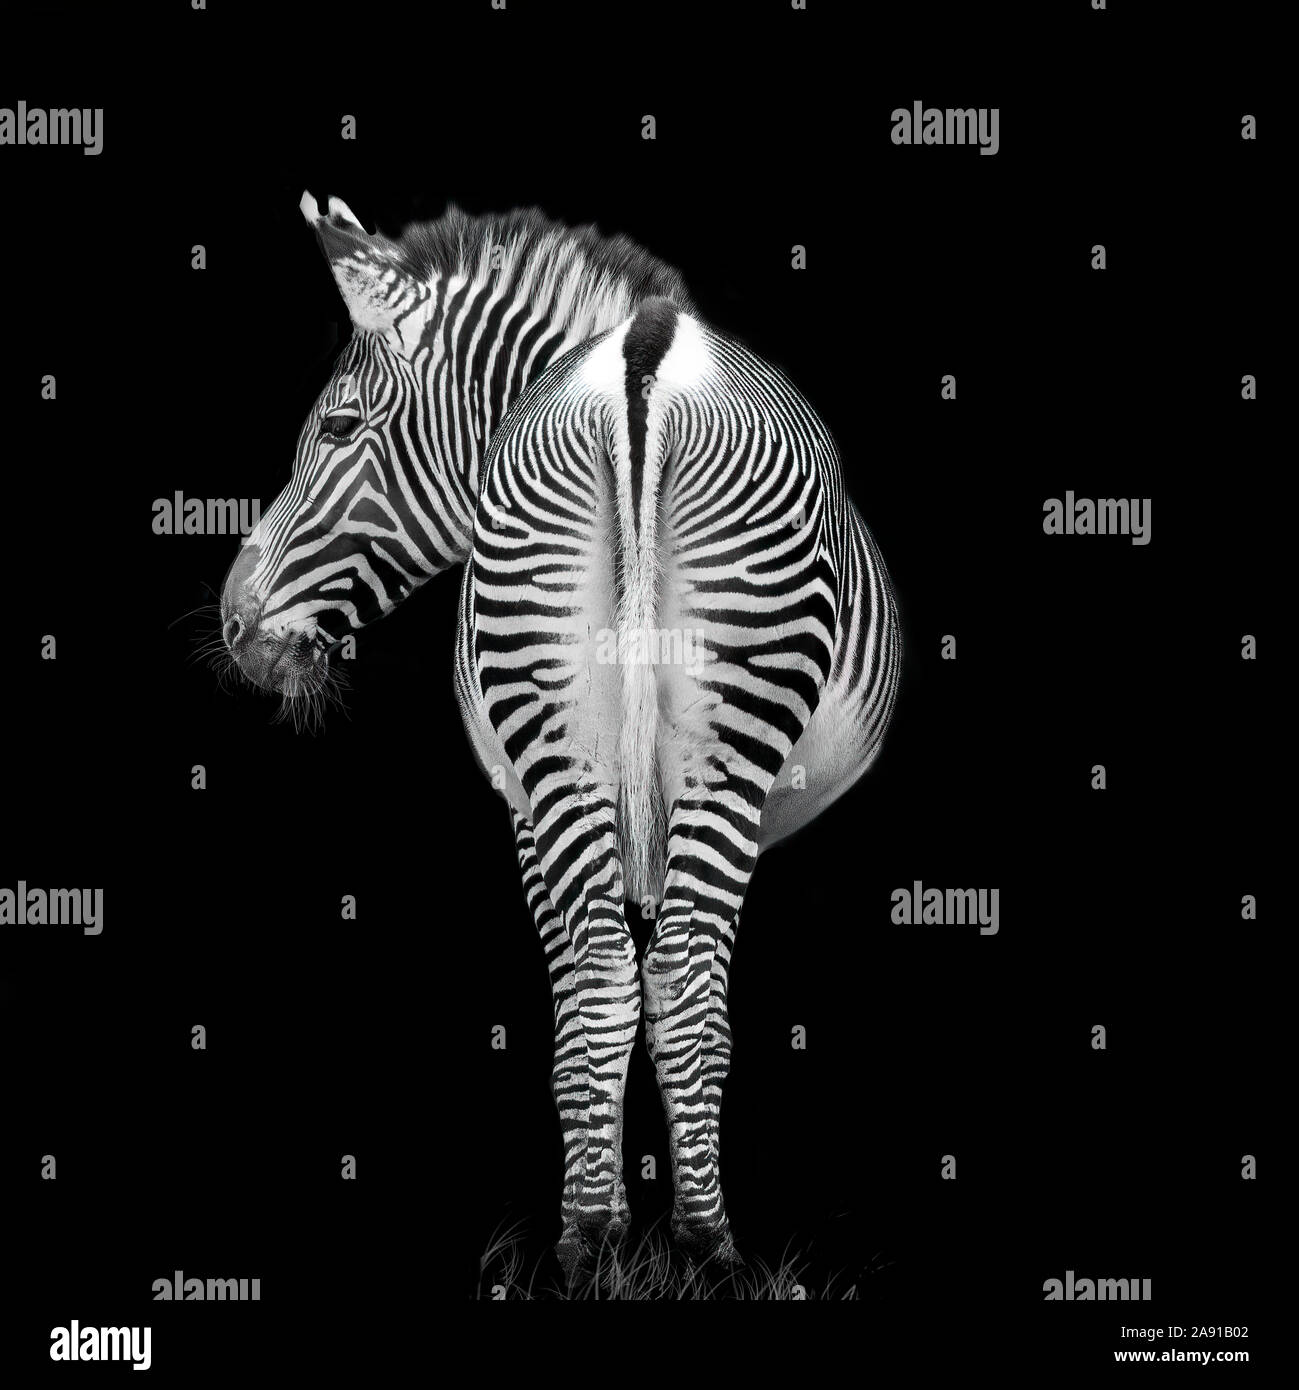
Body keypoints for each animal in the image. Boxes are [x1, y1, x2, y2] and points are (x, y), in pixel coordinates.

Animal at [219, 194, 901, 1274]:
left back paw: (616, 1241)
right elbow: (619, 995)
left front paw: (610, 1218)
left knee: (621, 974)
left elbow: (586, 1002)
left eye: (337, 425)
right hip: (702, 753)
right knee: (668, 975)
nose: (235, 623)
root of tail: (640, 362)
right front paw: (627, 1219)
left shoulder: (520, 800)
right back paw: (693, 1244)